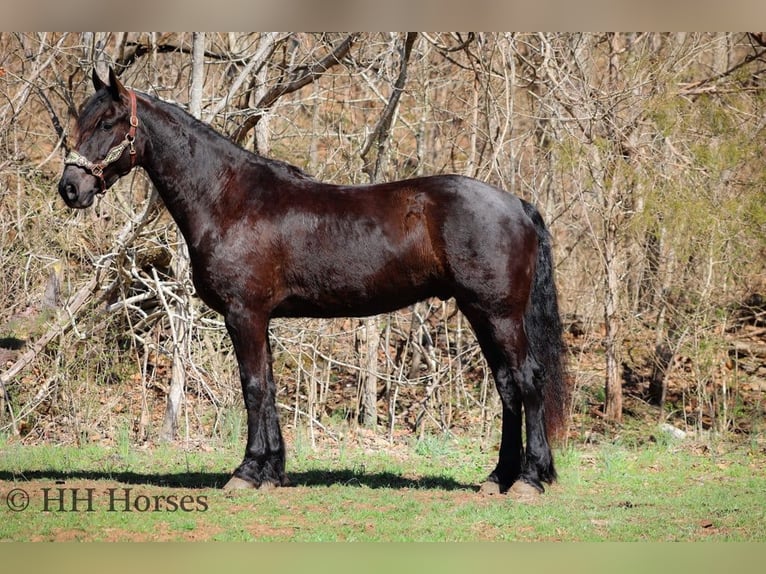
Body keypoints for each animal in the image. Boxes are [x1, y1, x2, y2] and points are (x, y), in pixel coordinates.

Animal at [58, 68, 568, 498]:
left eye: (108, 122)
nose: (69, 188)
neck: (229, 198)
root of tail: (518, 205)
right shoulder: (260, 318)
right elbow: (267, 386)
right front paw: (271, 471)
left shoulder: (244, 314)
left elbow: (253, 387)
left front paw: (247, 472)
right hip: (480, 313)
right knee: (507, 386)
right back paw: (498, 478)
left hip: (500, 314)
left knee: (528, 379)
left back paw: (529, 480)